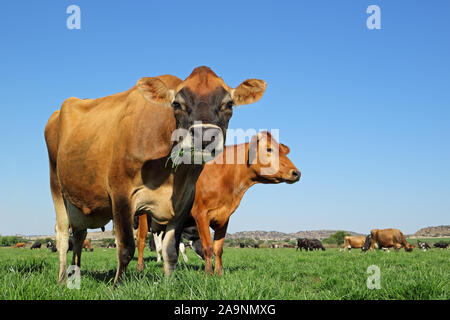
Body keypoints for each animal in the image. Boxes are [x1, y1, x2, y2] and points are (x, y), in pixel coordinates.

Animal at [44, 65, 268, 284]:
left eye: (228, 104)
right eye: (177, 104)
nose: (204, 137)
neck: (171, 175)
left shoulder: (184, 200)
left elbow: (171, 251)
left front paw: (169, 284)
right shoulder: (121, 194)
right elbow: (126, 247)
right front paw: (117, 286)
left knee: (79, 235)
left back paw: (75, 273)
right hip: (56, 186)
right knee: (63, 235)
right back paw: (62, 278)